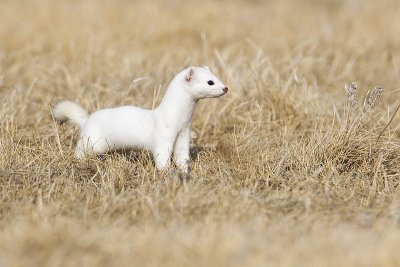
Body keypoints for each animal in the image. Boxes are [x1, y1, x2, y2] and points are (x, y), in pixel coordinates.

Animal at [52, 66, 228, 173]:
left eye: (217, 76)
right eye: (210, 82)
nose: (226, 88)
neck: (180, 120)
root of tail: (87, 119)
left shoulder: (184, 135)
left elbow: (181, 156)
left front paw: (185, 171)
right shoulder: (164, 136)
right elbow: (162, 157)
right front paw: (166, 172)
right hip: (93, 141)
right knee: (80, 149)